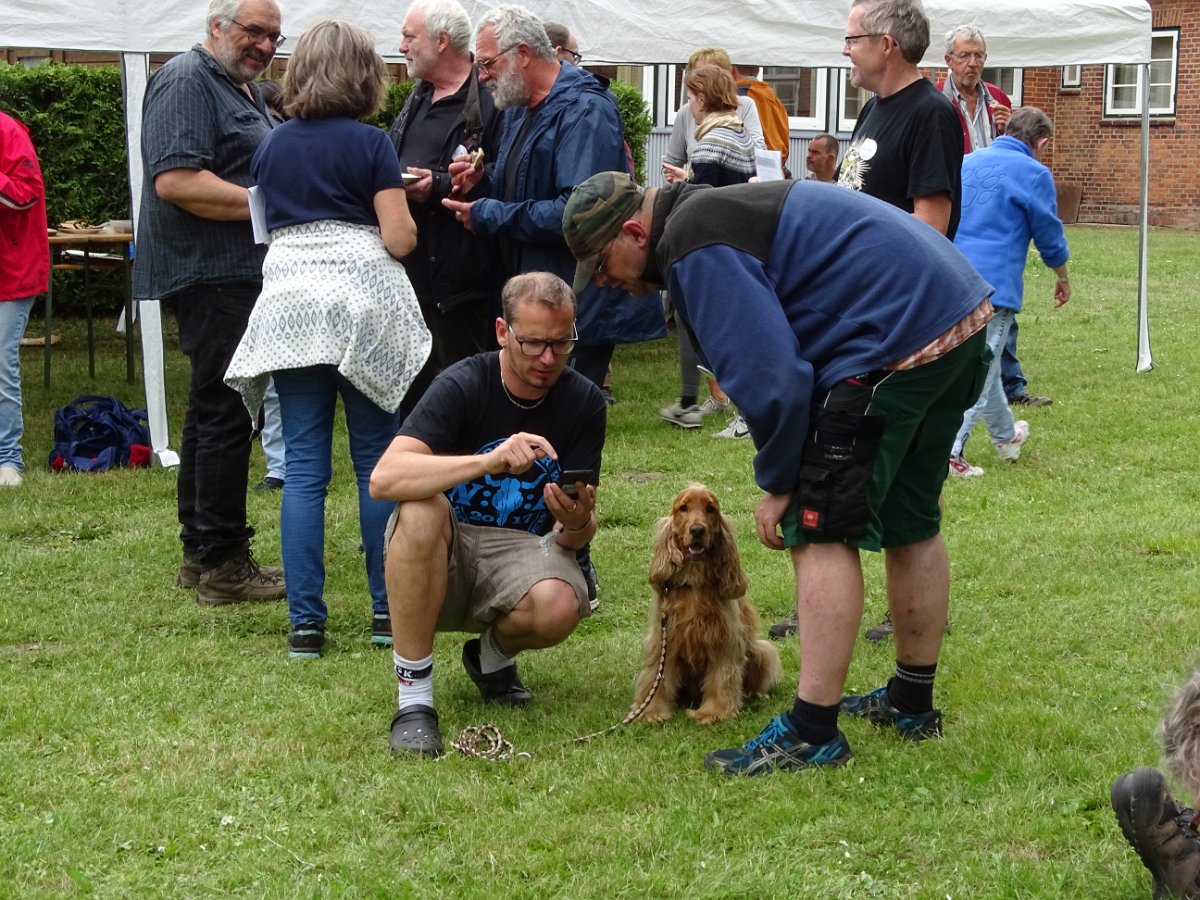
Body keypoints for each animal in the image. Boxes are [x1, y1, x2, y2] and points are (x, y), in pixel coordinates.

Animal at [633, 487, 782, 724]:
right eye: (683, 508)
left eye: (710, 509)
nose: (697, 530)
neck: (694, 579)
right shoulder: (663, 637)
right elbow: (657, 676)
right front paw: (651, 711)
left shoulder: (725, 640)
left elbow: (722, 677)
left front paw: (713, 712)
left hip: (762, 650)